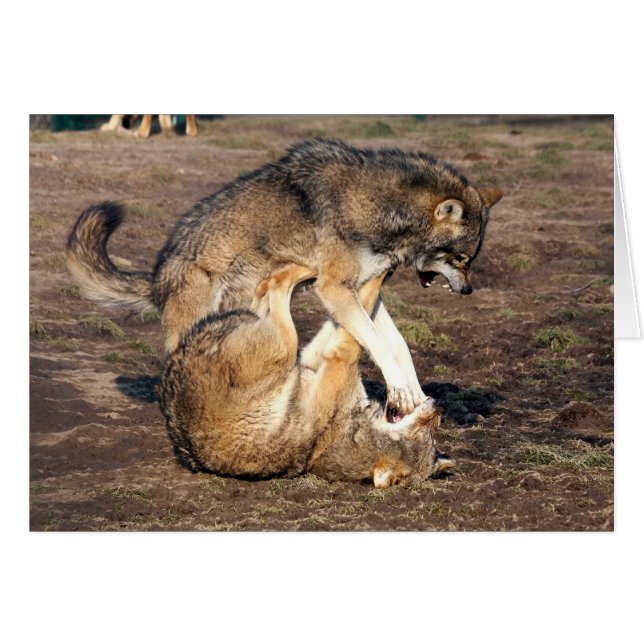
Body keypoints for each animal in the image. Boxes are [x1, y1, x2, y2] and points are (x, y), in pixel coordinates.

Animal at [66, 138, 502, 414]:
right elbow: (380, 345)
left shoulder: (364, 291)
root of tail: (159, 274)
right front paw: (402, 392)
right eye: (460, 258)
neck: (383, 207)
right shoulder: (335, 290)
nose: (469, 290)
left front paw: (411, 394)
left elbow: (396, 346)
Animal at [159, 265, 453, 487]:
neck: (355, 427)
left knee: (274, 289)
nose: (439, 406)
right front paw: (382, 270)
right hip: (286, 349)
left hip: (286, 347)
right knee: (265, 293)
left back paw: (296, 273)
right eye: (428, 432)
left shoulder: (335, 358)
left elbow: (351, 336)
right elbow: (357, 308)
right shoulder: (316, 360)